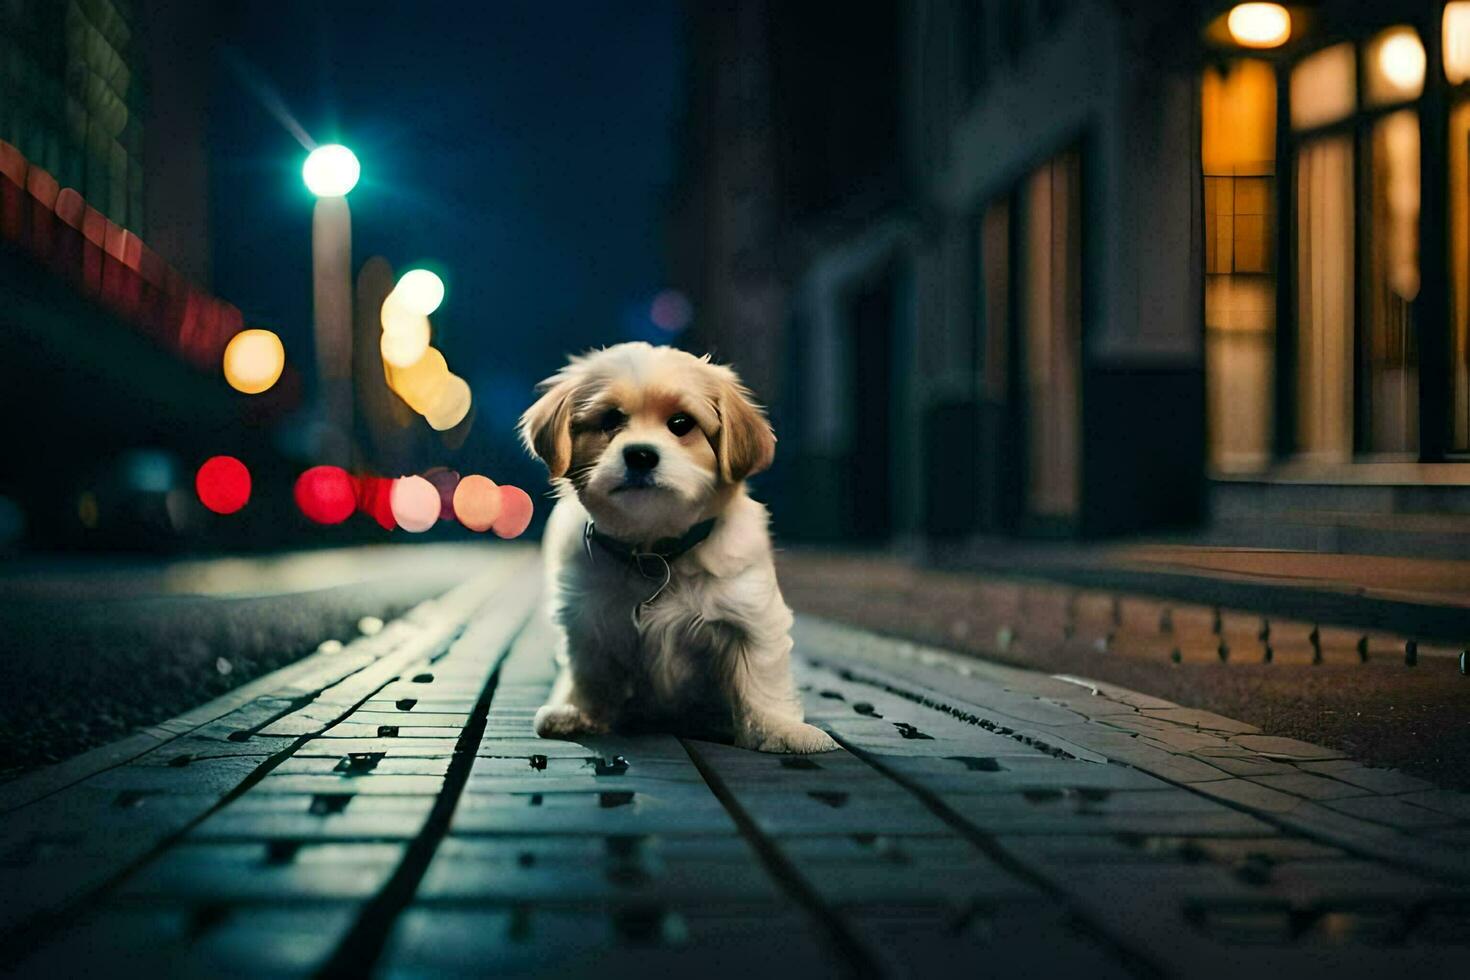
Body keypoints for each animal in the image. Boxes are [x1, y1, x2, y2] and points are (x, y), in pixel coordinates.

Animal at [520, 340, 840, 758]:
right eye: (610, 420)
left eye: (680, 423)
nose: (640, 454)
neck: (654, 550)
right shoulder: (586, 621)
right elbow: (590, 673)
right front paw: (580, 712)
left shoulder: (750, 619)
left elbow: (759, 681)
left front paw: (779, 729)